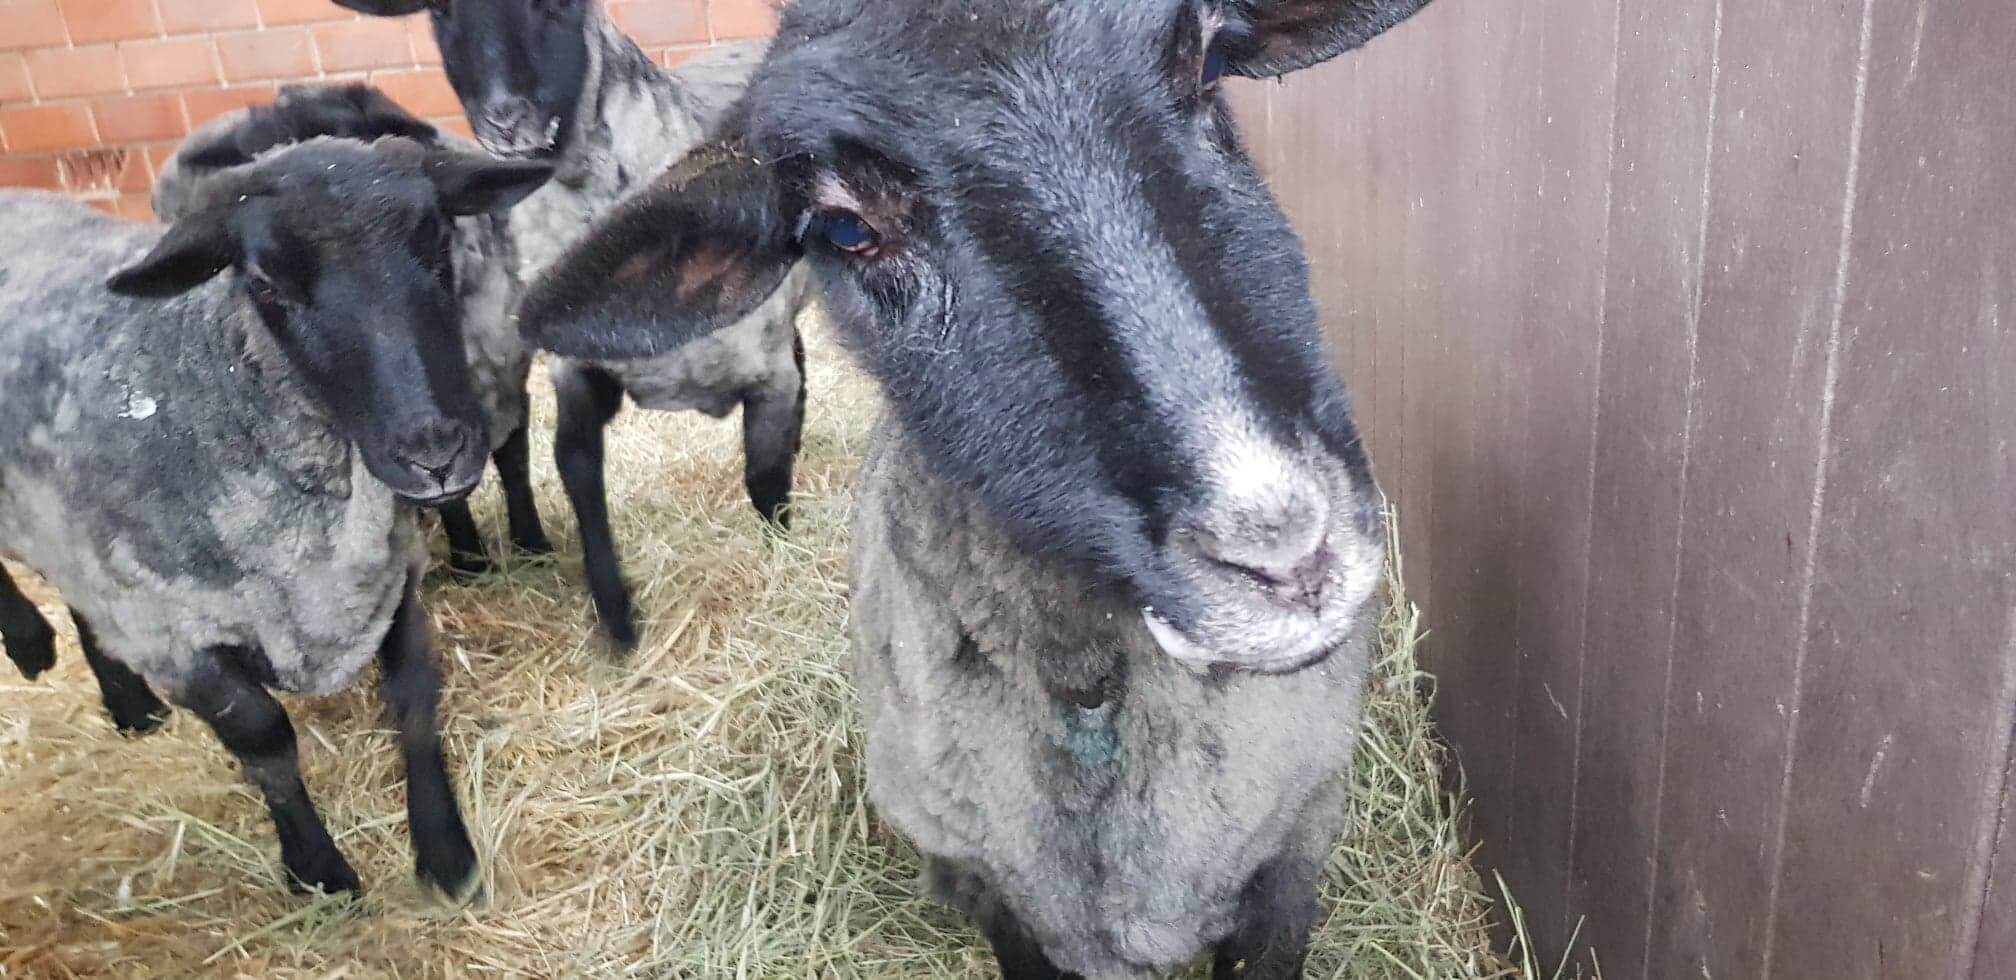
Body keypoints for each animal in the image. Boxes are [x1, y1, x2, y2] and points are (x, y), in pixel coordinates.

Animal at [0, 137, 551, 897]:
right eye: (264, 283)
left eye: (438, 239)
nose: (436, 454)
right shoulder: (175, 634)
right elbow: (264, 738)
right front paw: (318, 869)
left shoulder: (384, 579)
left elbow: (412, 696)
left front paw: (445, 853)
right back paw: (36, 646)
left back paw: (130, 705)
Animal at [152, 83, 553, 576]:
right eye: (265, 283)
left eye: (440, 240)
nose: (433, 456)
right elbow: (451, 500)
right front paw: (470, 562)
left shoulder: (505, 375)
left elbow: (515, 460)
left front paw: (534, 547)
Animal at [335, 0, 812, 649]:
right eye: (441, 12)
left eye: (561, 7)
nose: (506, 121)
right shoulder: (578, 369)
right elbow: (577, 469)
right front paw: (616, 617)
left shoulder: (766, 373)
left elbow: (764, 481)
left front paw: (783, 557)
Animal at [511, 1, 1429, 974]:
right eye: (845, 231)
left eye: (1208, 67)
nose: (1287, 554)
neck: (1096, 705)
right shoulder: (995, 891)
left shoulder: (1295, 852)